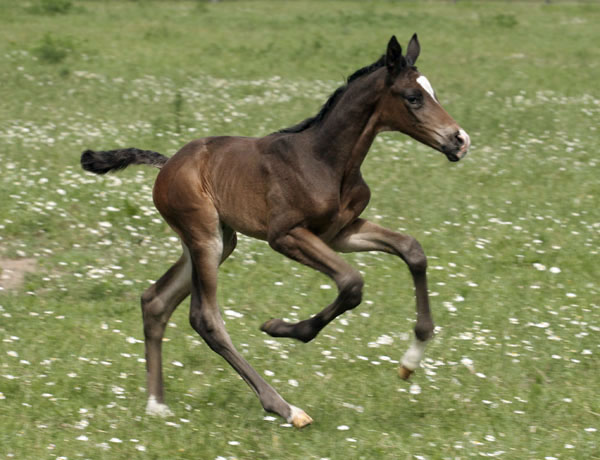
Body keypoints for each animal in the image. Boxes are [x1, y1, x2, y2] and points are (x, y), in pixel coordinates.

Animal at [82, 35, 472, 428]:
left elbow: (412, 250)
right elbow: (351, 283)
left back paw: (156, 405)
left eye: (433, 92)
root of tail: (167, 165)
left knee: (155, 301)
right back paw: (286, 408)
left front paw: (411, 360)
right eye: (413, 97)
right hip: (205, 237)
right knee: (205, 318)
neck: (325, 159)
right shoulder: (285, 236)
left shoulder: (340, 233)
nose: (460, 140)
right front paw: (280, 327)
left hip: (219, 241)